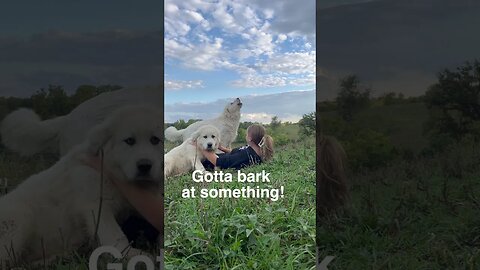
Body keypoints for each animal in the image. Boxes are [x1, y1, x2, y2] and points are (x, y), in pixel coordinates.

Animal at [0, 106, 162, 266]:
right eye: (129, 141)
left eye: (155, 140)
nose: (144, 166)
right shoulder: (96, 203)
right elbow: (114, 234)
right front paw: (131, 255)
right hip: (19, 219)